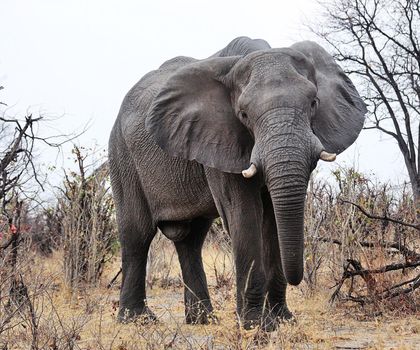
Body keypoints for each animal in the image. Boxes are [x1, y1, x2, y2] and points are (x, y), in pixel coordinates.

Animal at [109, 37, 368, 330]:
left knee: (191, 240)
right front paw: (256, 325)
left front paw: (282, 320)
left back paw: (202, 321)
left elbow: (273, 220)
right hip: (122, 155)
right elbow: (244, 215)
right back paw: (137, 321)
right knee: (137, 234)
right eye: (243, 114)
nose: (297, 278)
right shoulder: (220, 139)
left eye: (313, 103)